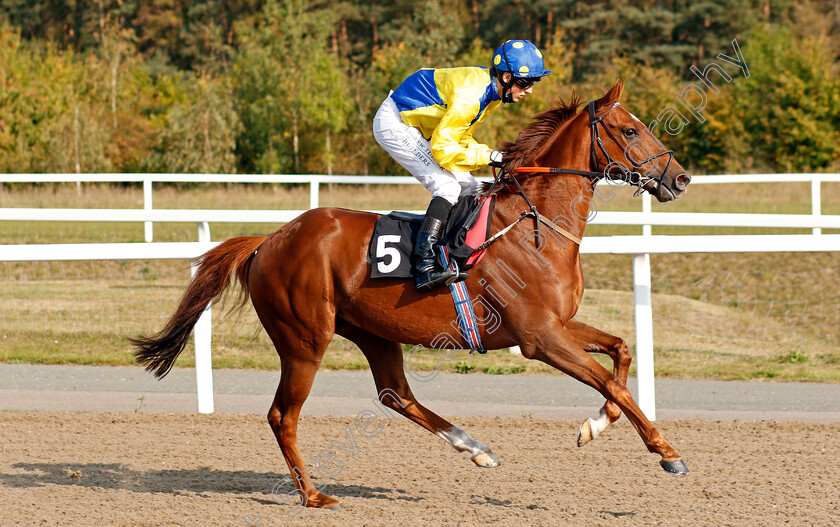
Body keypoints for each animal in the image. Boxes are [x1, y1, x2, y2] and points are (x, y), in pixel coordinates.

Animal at [135, 82, 692, 512]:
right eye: (629, 130)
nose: (680, 178)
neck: (532, 227)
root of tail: (269, 239)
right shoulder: (540, 338)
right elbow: (613, 382)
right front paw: (667, 452)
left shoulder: (557, 325)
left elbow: (621, 352)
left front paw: (594, 426)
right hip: (304, 340)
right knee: (282, 415)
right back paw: (313, 495)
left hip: (373, 331)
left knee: (395, 394)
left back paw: (475, 447)